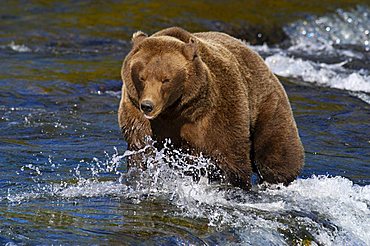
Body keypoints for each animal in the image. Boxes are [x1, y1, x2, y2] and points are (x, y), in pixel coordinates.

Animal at [118, 26, 304, 188]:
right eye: (142, 77)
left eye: (166, 79)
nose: (148, 106)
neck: (175, 109)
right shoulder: (135, 110)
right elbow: (141, 148)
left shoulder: (216, 109)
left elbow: (229, 154)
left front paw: (234, 182)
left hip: (266, 103)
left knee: (276, 152)